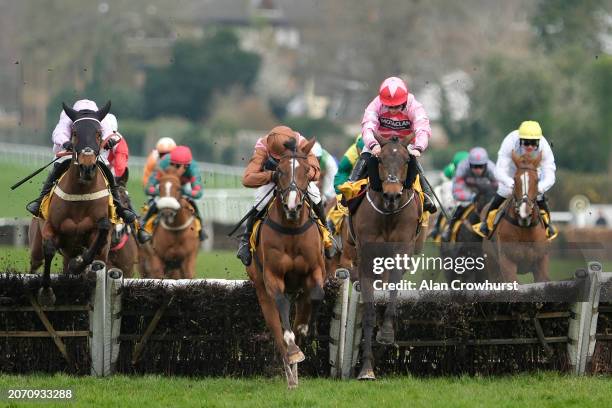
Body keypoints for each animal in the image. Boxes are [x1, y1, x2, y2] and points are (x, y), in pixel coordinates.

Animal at [247, 137, 328, 388]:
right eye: (280, 171)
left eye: (306, 170)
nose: (293, 206)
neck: (291, 229)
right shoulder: (272, 277)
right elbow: (283, 313)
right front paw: (293, 350)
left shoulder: (315, 271)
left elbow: (315, 296)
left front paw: (304, 329)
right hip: (261, 290)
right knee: (276, 327)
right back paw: (290, 375)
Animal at [340, 135, 420, 380]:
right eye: (381, 159)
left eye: (406, 160)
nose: (392, 195)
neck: (388, 215)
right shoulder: (366, 261)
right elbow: (368, 312)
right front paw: (366, 368)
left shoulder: (400, 253)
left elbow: (392, 294)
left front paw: (386, 334)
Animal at [482, 151, 548, 284]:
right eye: (515, 179)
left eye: (537, 180)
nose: (525, 212)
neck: (525, 229)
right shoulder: (507, 263)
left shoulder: (541, 263)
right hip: (492, 264)